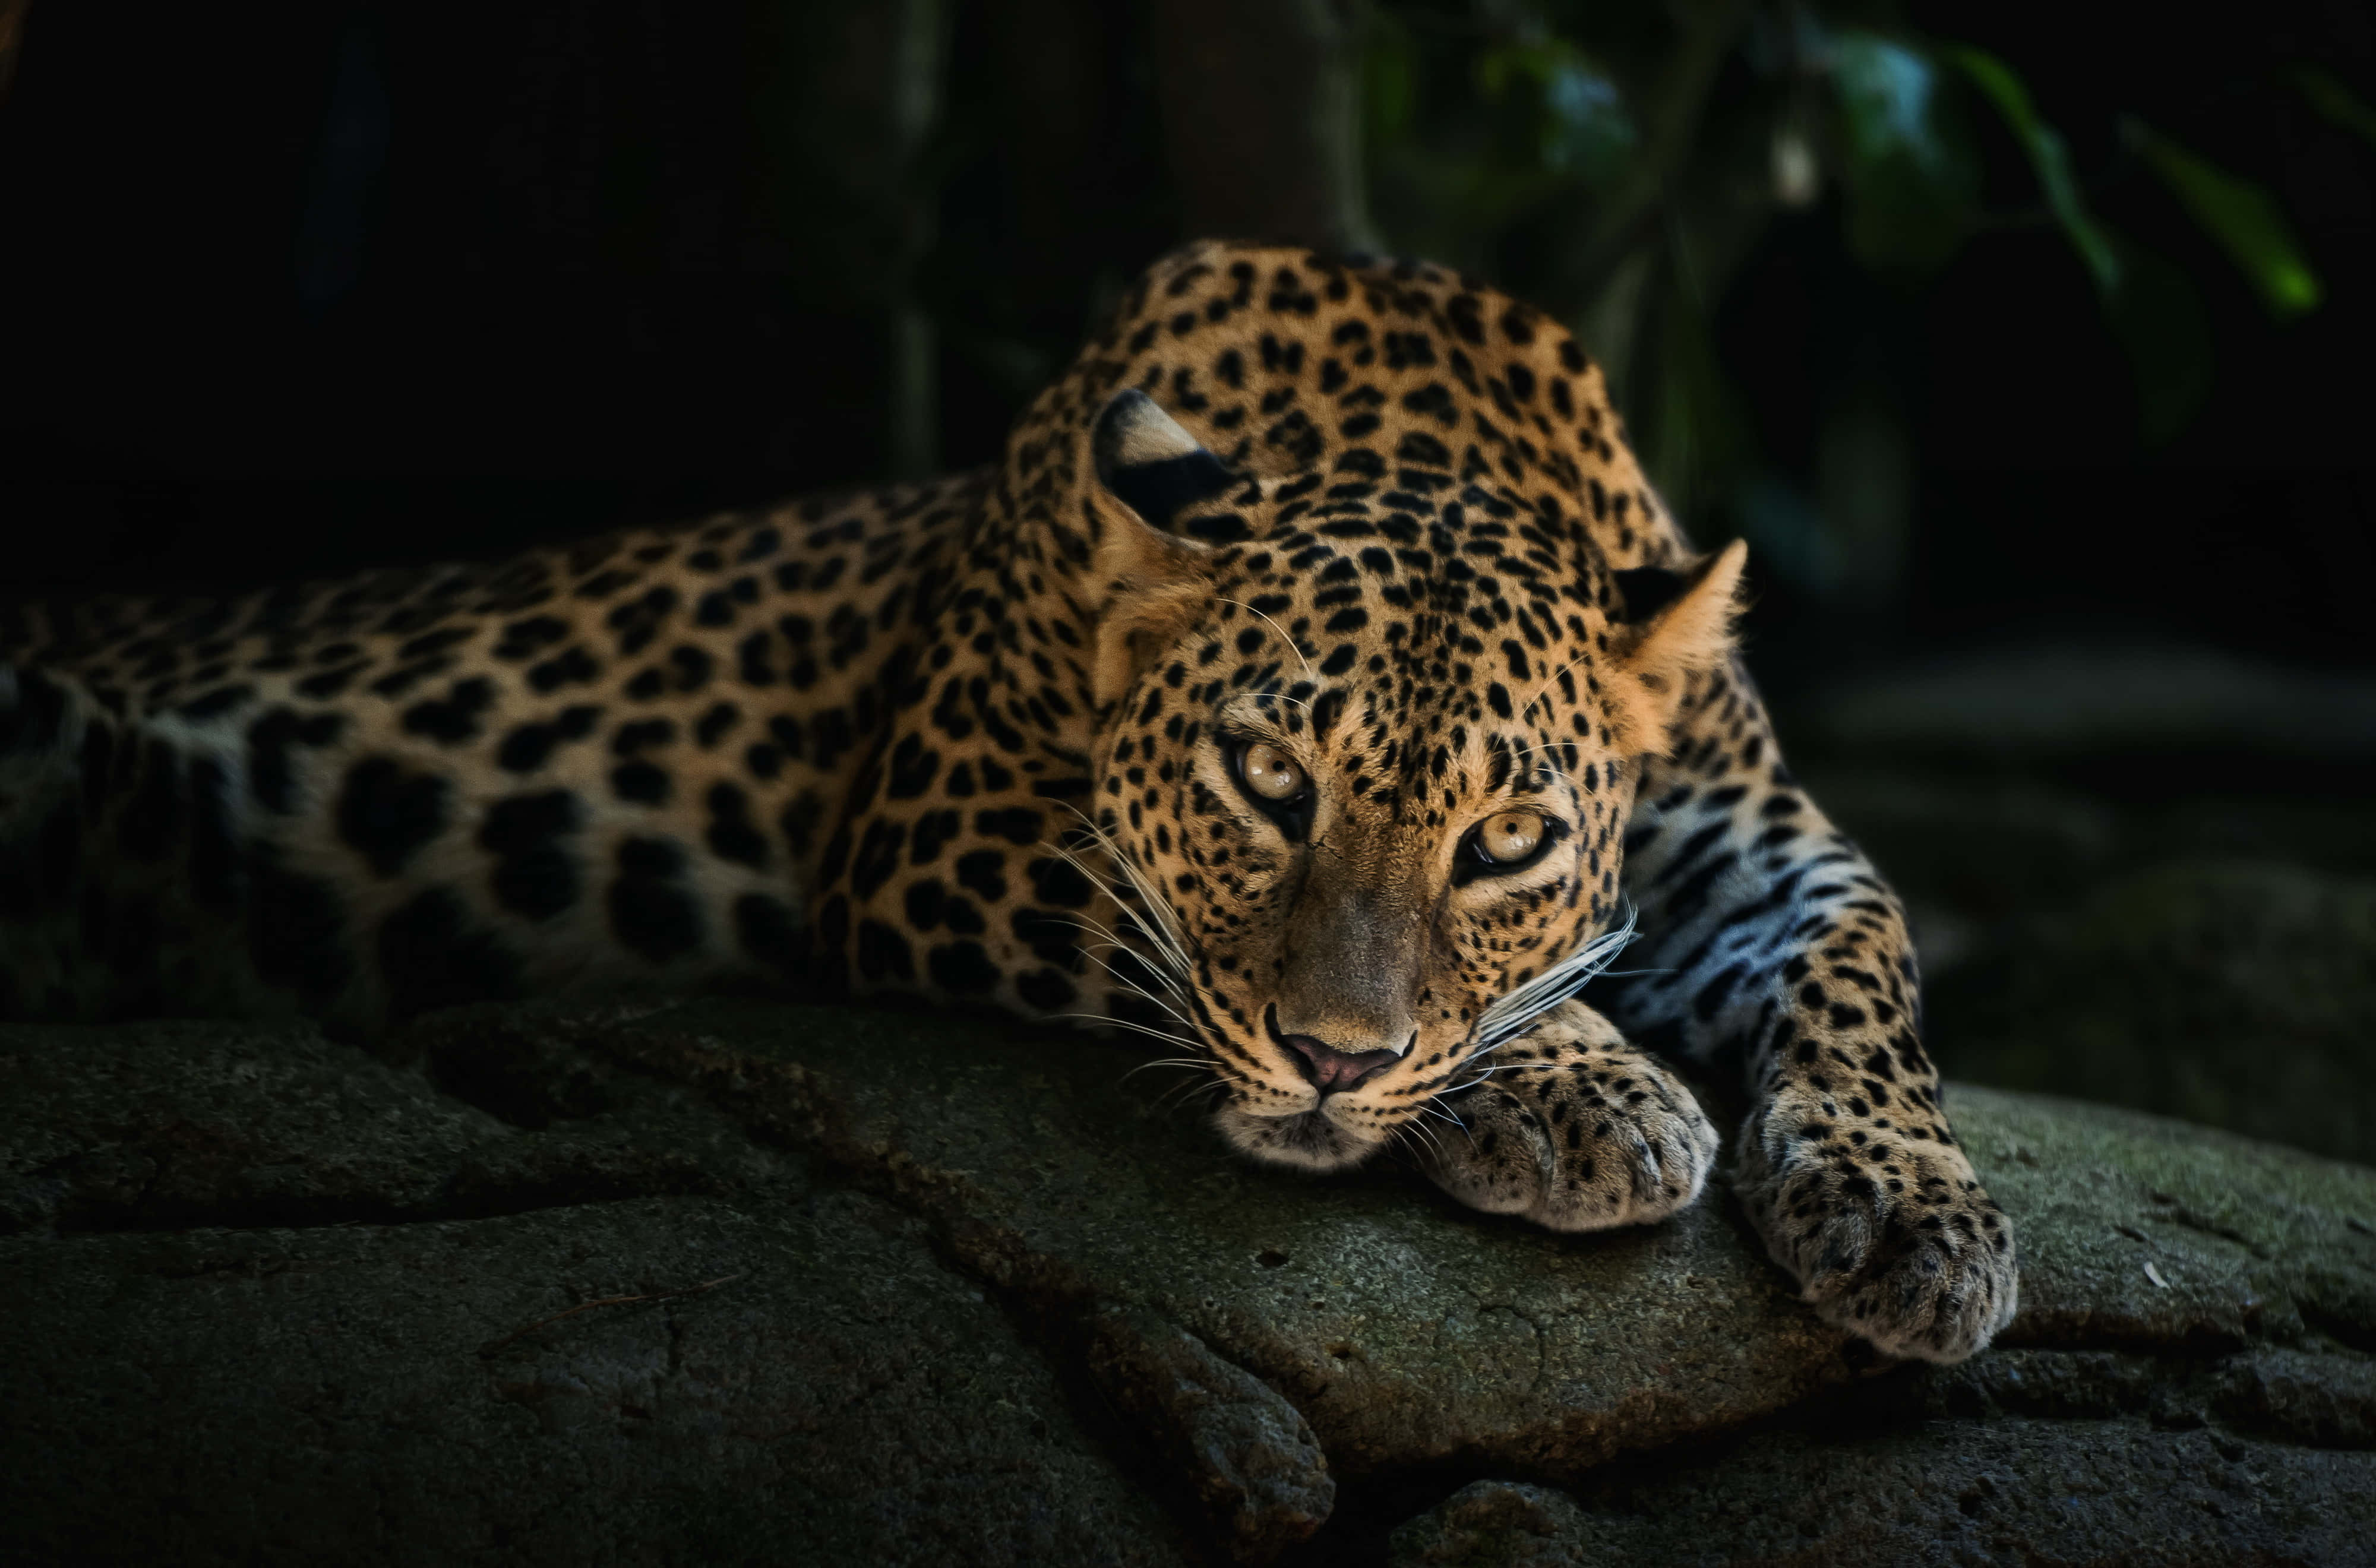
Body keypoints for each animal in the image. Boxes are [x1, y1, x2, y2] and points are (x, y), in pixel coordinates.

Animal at [0, 239, 2016, 1363]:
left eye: (1506, 840)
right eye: (1264, 780)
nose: (1337, 1066)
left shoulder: (1756, 838)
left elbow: (1869, 960)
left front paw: (1914, 1213)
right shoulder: (936, 830)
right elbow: (1187, 945)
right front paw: (1591, 1089)